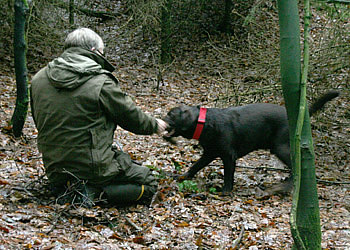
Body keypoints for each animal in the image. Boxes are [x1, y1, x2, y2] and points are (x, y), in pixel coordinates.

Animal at [164, 91, 340, 194]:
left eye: (170, 115)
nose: (161, 118)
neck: (205, 122)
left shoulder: (229, 156)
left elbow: (228, 176)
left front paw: (225, 192)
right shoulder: (210, 153)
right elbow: (195, 166)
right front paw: (183, 176)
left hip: (280, 147)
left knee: (296, 166)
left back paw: (283, 187)